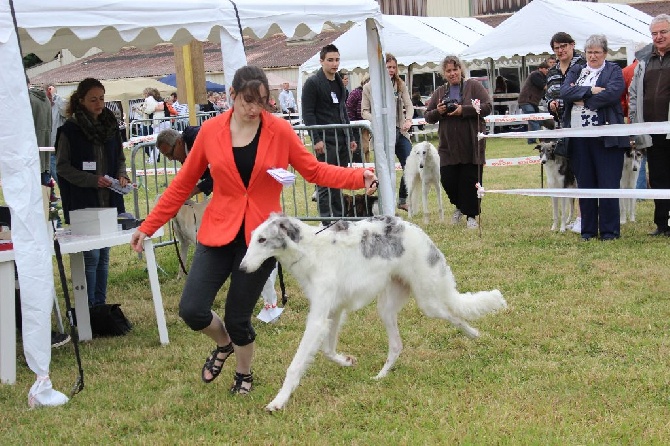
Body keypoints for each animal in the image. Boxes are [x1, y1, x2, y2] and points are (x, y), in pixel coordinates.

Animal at [239, 213, 506, 412]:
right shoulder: (334, 311)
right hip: (387, 307)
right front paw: (347, 361)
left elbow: (295, 365)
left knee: (456, 316)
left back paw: (474, 334)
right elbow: (328, 350)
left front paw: (278, 401)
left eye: (262, 239)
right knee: (397, 345)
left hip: (429, 302)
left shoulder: (318, 318)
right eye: (252, 238)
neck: (310, 251)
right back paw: (381, 376)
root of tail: (418, 231)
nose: (241, 269)